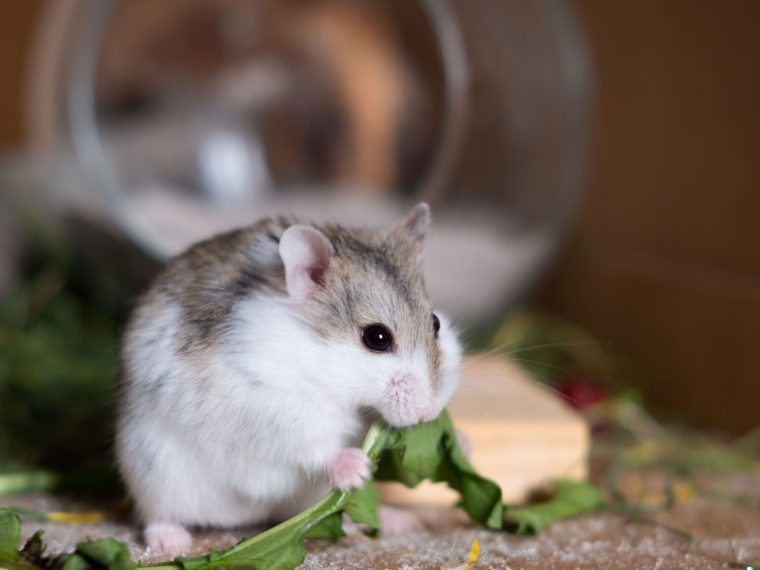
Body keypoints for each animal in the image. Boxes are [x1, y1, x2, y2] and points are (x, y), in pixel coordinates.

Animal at [115, 203, 462, 555]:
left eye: (435, 324)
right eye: (377, 337)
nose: (428, 413)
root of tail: (240, 518)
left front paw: (460, 440)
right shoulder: (271, 406)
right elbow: (314, 444)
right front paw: (358, 468)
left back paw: (394, 521)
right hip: (153, 470)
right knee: (157, 515)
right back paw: (172, 544)